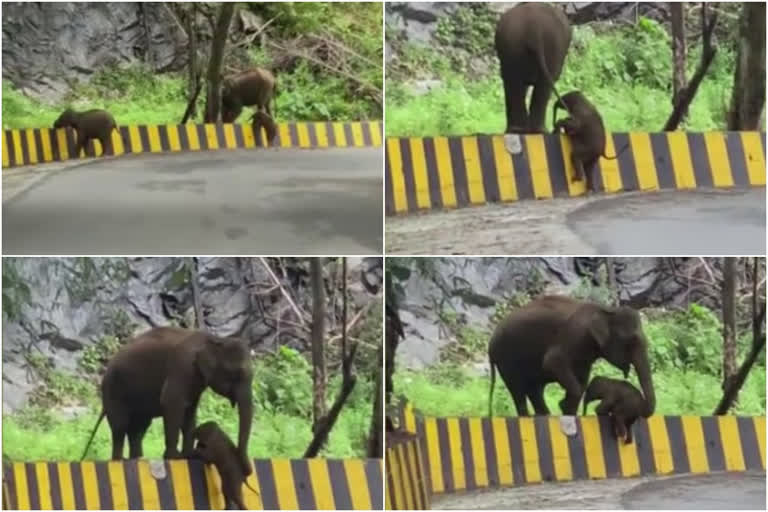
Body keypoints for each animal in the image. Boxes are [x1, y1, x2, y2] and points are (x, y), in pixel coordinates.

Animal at [82, 328, 254, 476]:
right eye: (235, 374)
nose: (246, 471)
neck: (215, 339)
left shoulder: (195, 380)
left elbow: (190, 411)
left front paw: (188, 454)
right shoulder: (182, 367)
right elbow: (171, 403)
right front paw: (175, 457)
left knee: (139, 428)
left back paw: (137, 459)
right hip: (113, 391)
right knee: (120, 426)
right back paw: (119, 461)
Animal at [488, 296, 656, 416]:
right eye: (631, 341)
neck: (606, 310)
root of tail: (490, 343)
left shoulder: (584, 354)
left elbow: (582, 380)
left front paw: (566, 408)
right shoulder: (575, 335)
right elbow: (552, 362)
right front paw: (564, 404)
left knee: (535, 390)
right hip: (506, 360)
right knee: (518, 391)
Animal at [496, 2, 572, 134]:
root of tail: (534, 29)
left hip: (514, 44)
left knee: (514, 81)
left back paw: (522, 130)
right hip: (550, 45)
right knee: (541, 84)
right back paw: (534, 130)